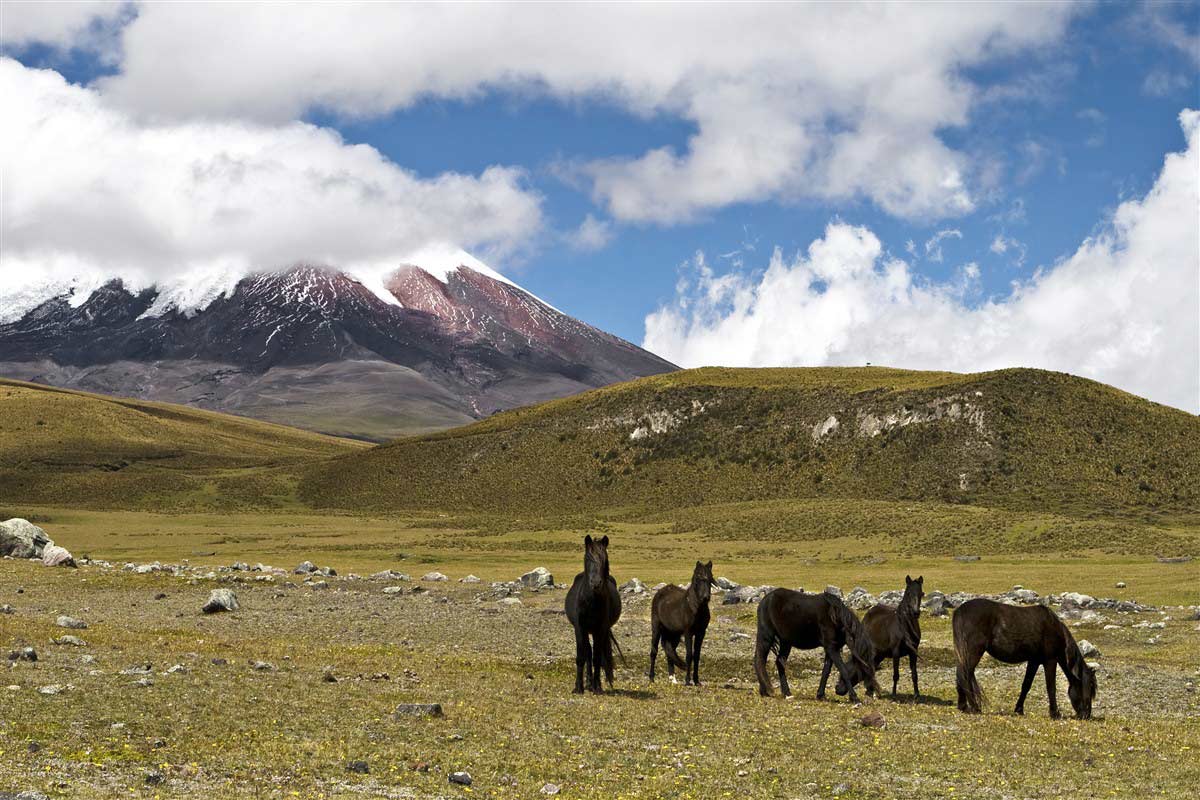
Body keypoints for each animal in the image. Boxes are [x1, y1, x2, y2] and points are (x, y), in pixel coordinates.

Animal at [561, 532, 624, 695]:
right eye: (588, 558)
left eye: (604, 559)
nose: (596, 583)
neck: (591, 602)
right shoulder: (579, 628)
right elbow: (581, 657)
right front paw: (578, 687)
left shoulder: (600, 629)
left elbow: (597, 658)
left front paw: (598, 688)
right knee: (587, 652)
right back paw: (588, 683)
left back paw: (593, 684)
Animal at [955, 594, 1099, 719]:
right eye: (1089, 688)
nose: (1086, 715)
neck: (1055, 629)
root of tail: (960, 611)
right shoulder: (1050, 661)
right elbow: (1051, 687)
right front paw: (1055, 713)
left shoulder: (1034, 661)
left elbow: (1026, 685)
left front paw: (1019, 710)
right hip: (973, 652)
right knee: (964, 674)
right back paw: (974, 707)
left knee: (960, 675)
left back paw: (963, 706)